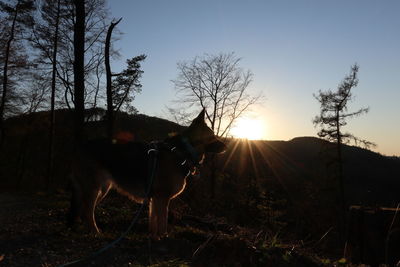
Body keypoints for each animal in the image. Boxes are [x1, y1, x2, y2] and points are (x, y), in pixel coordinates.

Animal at [67, 110, 227, 240]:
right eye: (212, 135)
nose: (227, 146)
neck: (182, 151)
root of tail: (78, 148)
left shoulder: (154, 199)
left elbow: (154, 220)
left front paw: (154, 237)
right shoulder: (161, 198)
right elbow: (162, 221)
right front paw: (163, 237)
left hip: (102, 189)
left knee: (84, 211)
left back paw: (87, 230)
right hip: (94, 189)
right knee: (88, 211)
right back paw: (95, 232)